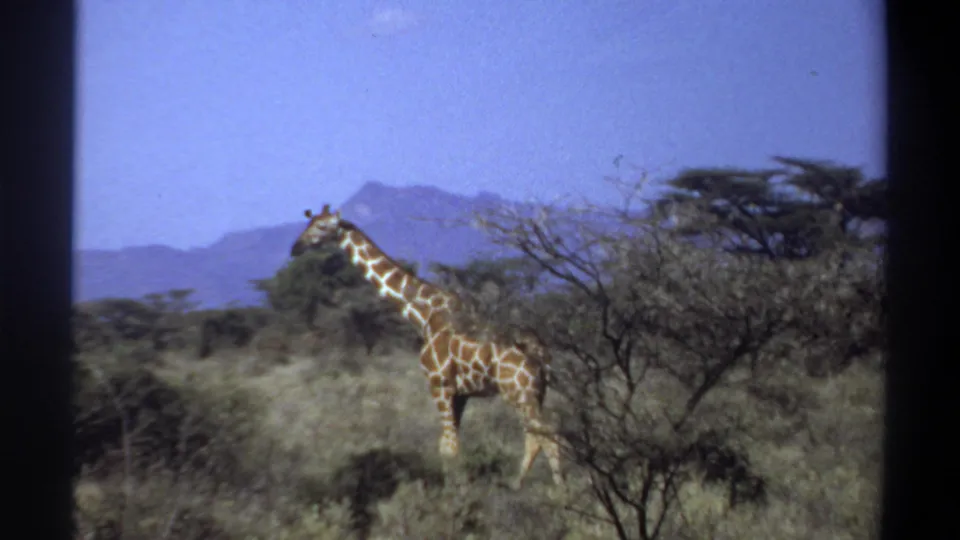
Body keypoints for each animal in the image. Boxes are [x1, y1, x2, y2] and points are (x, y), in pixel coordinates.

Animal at [290, 204, 565, 490]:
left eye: (322, 227)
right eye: (309, 223)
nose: (295, 248)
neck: (422, 314)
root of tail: (542, 354)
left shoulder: (439, 385)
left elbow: (450, 447)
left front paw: (458, 493)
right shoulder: (460, 393)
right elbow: (447, 444)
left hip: (519, 392)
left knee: (548, 435)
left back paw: (560, 493)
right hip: (534, 393)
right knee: (536, 436)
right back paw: (518, 485)